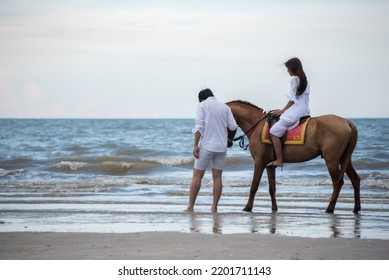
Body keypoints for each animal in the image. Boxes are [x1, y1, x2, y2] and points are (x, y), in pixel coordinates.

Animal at [226, 100, 360, 212]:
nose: (228, 142)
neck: (257, 125)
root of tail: (348, 122)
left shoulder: (259, 162)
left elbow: (254, 186)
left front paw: (247, 207)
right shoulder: (269, 165)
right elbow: (272, 188)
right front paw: (274, 208)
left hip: (332, 160)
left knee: (338, 182)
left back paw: (330, 208)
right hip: (344, 159)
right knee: (355, 179)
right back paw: (356, 208)